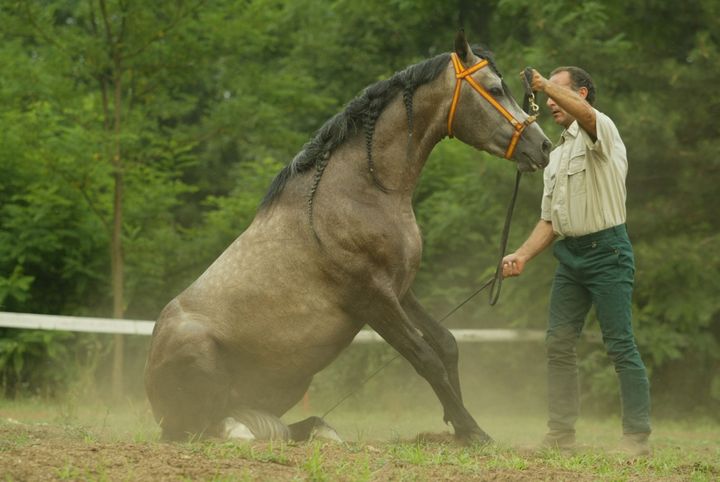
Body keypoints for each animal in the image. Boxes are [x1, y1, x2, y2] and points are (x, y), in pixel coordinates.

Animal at [144, 31, 551, 444]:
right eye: (495, 89)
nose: (544, 145)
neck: (362, 192)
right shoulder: (372, 298)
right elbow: (426, 358)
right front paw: (473, 430)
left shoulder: (400, 289)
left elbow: (446, 344)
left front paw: (457, 426)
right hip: (199, 368)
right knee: (202, 429)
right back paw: (243, 432)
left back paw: (320, 430)